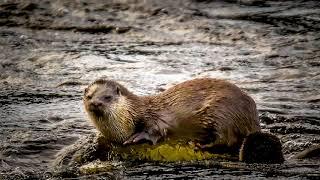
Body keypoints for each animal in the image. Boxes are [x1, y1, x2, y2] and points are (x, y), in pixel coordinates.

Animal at [84, 77, 284, 163]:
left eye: (107, 97)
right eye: (89, 96)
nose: (95, 103)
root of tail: (253, 118)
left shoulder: (153, 118)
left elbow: (154, 130)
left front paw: (135, 138)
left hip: (223, 113)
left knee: (227, 140)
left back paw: (200, 144)